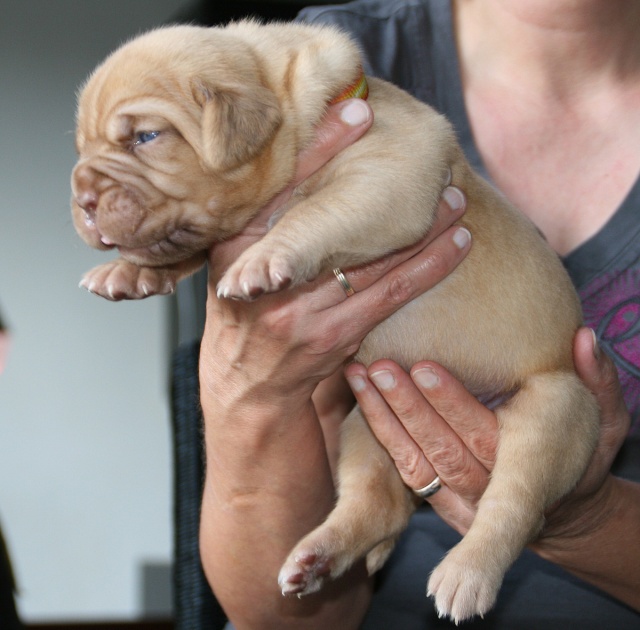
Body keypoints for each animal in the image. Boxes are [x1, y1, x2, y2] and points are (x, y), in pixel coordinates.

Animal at [70, 22, 600, 624]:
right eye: (83, 147)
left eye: (145, 137)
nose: (81, 198)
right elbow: (182, 248)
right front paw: (128, 272)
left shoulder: (386, 174)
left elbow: (311, 212)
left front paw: (259, 260)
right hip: (365, 425)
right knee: (380, 505)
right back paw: (318, 557)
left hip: (555, 410)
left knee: (516, 504)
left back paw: (467, 573)